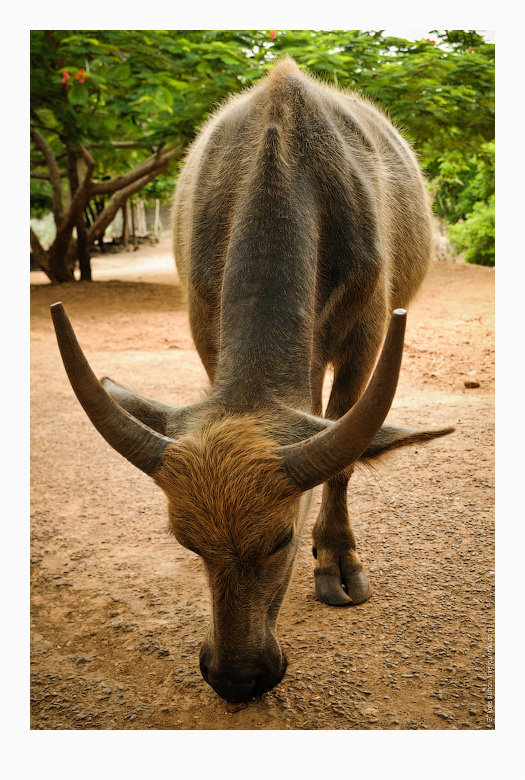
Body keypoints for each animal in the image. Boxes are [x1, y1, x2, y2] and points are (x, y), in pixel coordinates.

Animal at [54, 58, 454, 704]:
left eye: (281, 539)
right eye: (185, 541)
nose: (237, 678)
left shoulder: (368, 336)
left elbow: (343, 456)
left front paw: (336, 560)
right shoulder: (204, 326)